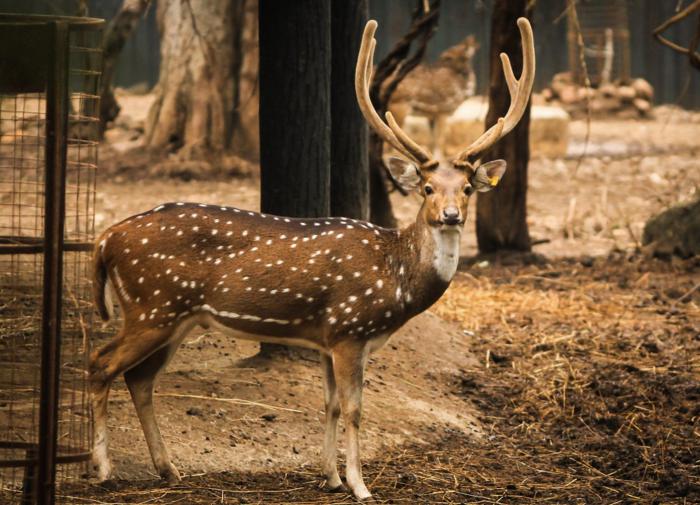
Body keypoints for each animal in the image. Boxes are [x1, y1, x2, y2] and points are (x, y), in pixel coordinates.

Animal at [89, 16, 536, 500]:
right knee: (101, 363)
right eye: (427, 188)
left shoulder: (326, 338)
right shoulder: (349, 329)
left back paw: (169, 469)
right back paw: (104, 468)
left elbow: (330, 405)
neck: (396, 277)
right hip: (151, 306)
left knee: (139, 379)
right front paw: (360, 486)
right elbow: (356, 409)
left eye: (468, 188)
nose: (451, 215)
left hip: (177, 318)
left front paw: (331, 477)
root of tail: (106, 239)